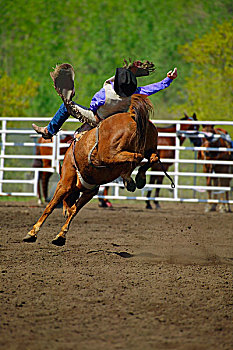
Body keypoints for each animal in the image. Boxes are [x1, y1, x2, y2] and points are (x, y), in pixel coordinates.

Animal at [24, 94, 162, 245]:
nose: (64, 211)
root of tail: (131, 116)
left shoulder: (64, 184)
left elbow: (50, 206)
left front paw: (32, 233)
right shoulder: (90, 192)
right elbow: (74, 210)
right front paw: (61, 235)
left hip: (109, 154)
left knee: (137, 156)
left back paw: (132, 178)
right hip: (149, 146)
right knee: (152, 158)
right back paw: (137, 179)